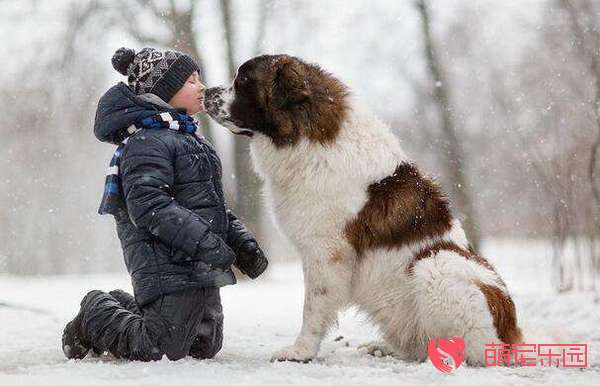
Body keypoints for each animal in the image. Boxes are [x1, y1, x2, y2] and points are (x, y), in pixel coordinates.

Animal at [204, 54, 524, 364]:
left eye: (243, 80)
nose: (207, 91)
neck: (306, 140)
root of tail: (513, 333)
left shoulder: (326, 252)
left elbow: (312, 307)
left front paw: (301, 351)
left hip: (438, 264)